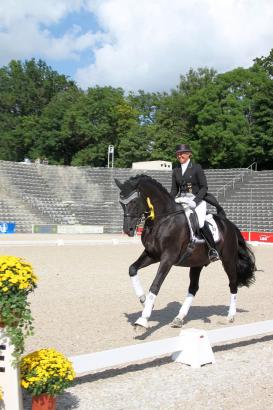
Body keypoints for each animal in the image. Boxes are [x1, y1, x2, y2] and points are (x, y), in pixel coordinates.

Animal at [115, 175, 255, 328]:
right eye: (121, 203)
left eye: (134, 201)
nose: (128, 230)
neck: (163, 219)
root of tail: (228, 223)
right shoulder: (152, 255)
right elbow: (132, 269)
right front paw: (144, 301)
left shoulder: (168, 258)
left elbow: (155, 285)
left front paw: (143, 319)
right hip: (197, 263)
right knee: (193, 287)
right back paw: (179, 318)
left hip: (228, 259)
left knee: (233, 283)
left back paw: (230, 316)